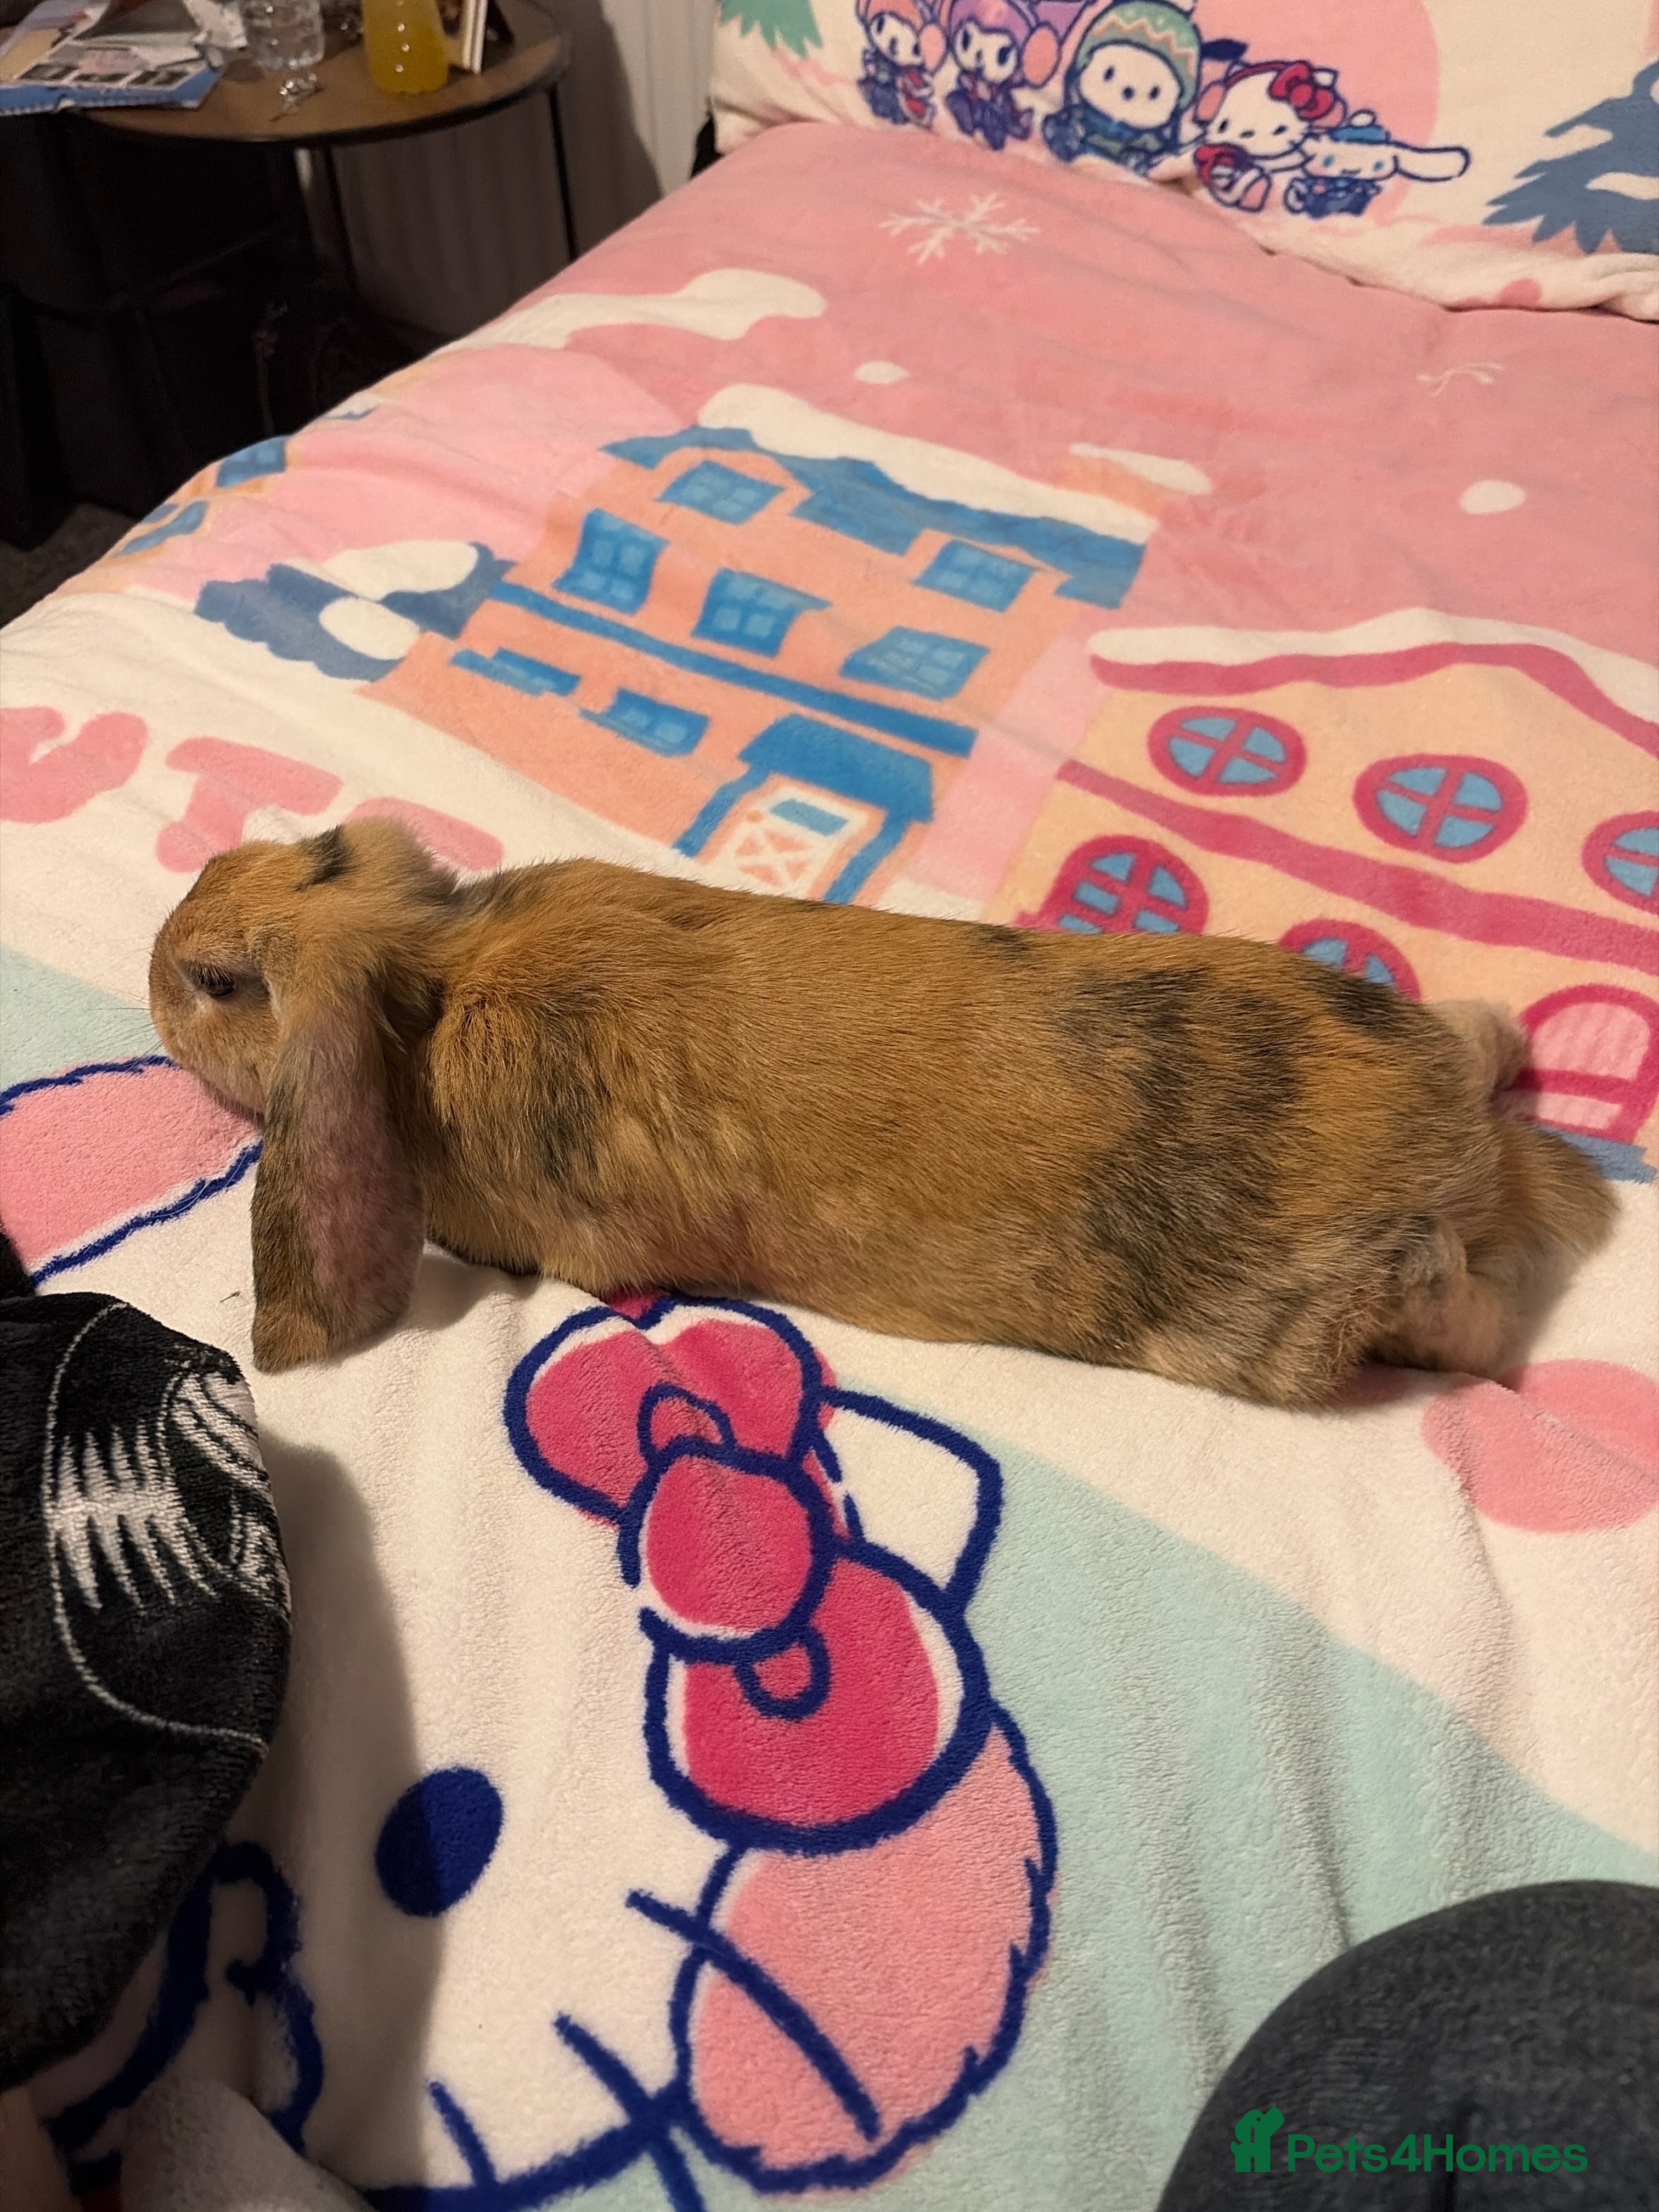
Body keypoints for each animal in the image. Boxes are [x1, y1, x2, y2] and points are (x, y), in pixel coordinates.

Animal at [148, 819, 1616, 1403]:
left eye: (220, 985)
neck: (442, 984)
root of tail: (1471, 1156)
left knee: (1466, 1320)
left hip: (1306, 1327)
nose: (154, 969)